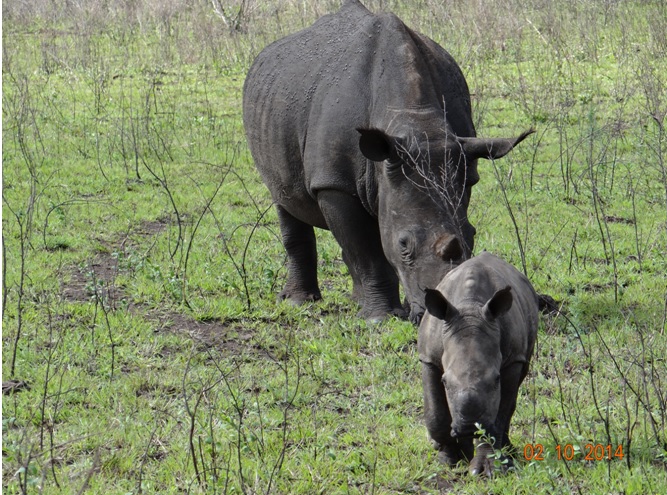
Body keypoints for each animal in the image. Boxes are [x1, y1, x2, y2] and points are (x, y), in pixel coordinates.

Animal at [244, 0, 532, 324]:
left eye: (472, 236)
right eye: (403, 245)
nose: (440, 312)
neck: (416, 121)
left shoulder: (462, 163)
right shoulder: (334, 183)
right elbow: (367, 252)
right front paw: (379, 319)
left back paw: (356, 301)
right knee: (285, 199)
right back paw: (299, 302)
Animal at [420, 252, 540, 476]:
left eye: (496, 379)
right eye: (445, 382)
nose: (469, 428)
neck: (470, 307)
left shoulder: (512, 360)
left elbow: (498, 417)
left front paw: (486, 469)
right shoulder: (428, 358)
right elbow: (435, 413)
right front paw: (449, 458)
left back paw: (509, 453)